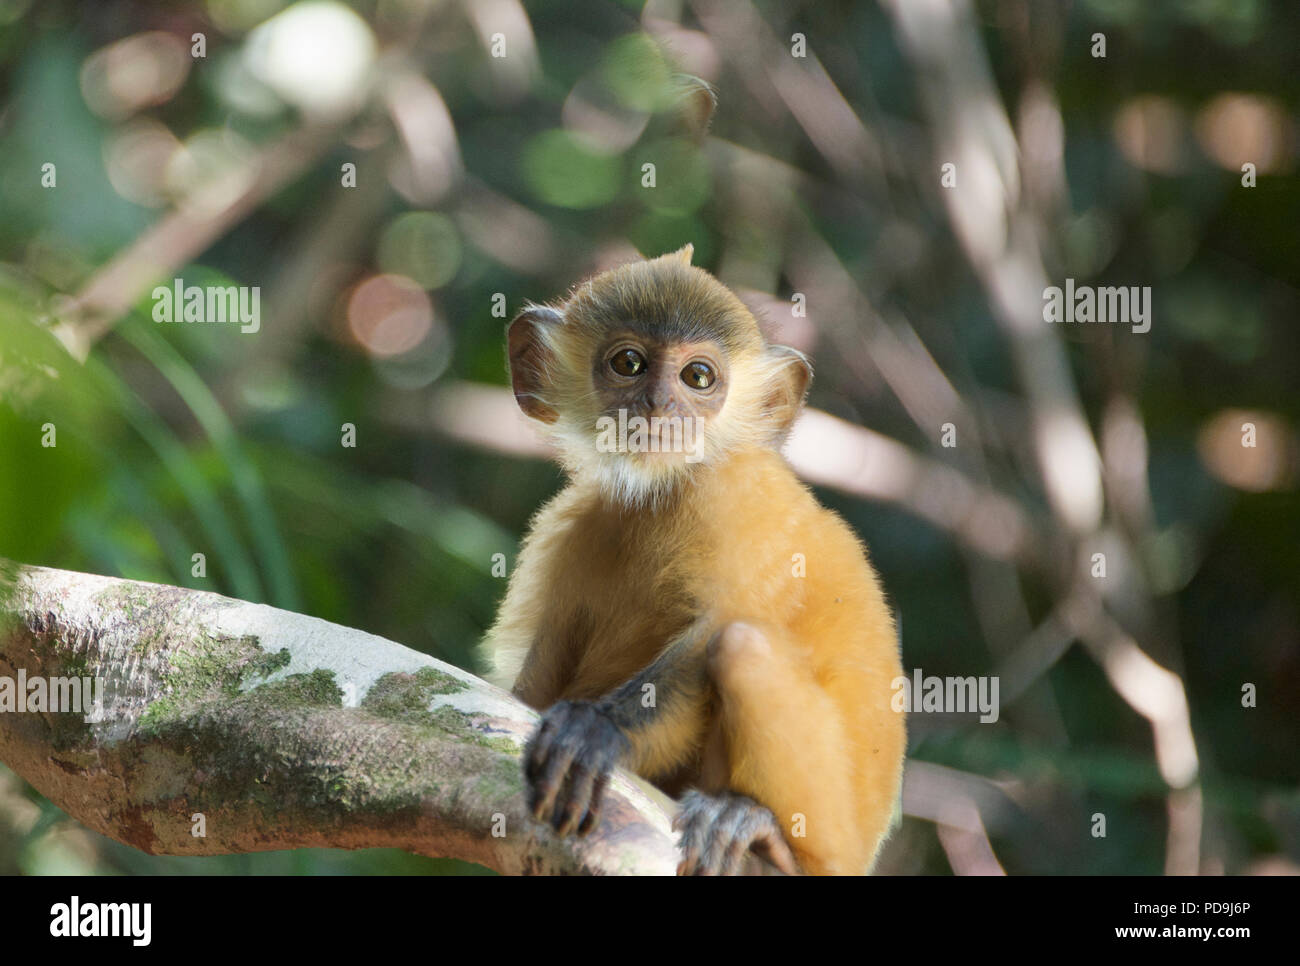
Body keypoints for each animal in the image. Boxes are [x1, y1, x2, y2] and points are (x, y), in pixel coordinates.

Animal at [480, 244, 905, 875]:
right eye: (628, 364)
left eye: (697, 377)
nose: (659, 405)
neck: (667, 491)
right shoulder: (576, 529)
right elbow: (531, 692)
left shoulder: (735, 496)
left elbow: (713, 633)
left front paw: (596, 732)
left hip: (833, 835)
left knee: (742, 645)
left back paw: (761, 831)